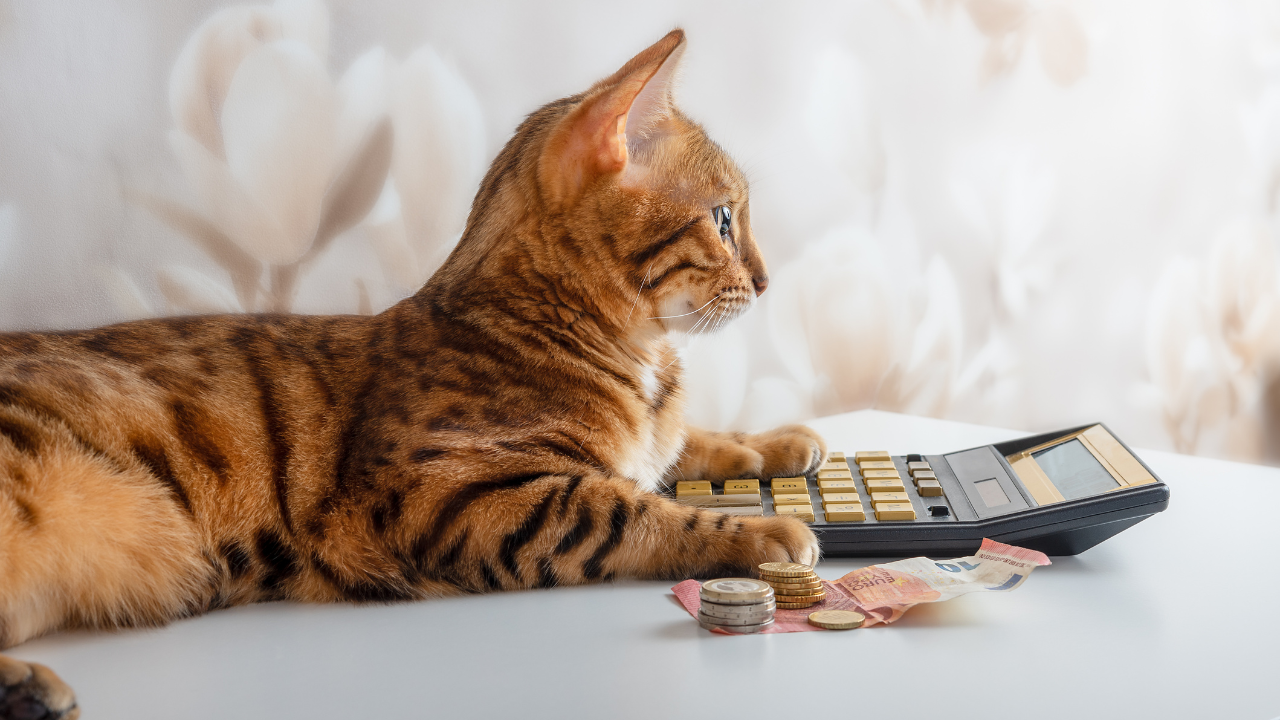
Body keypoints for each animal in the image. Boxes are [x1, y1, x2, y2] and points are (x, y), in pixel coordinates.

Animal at [0, 29, 819, 717]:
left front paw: (777, 443)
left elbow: (688, 444)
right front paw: (767, 532)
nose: (769, 281)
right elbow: (631, 508)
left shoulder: (640, 443)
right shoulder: (452, 494)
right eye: (723, 220)